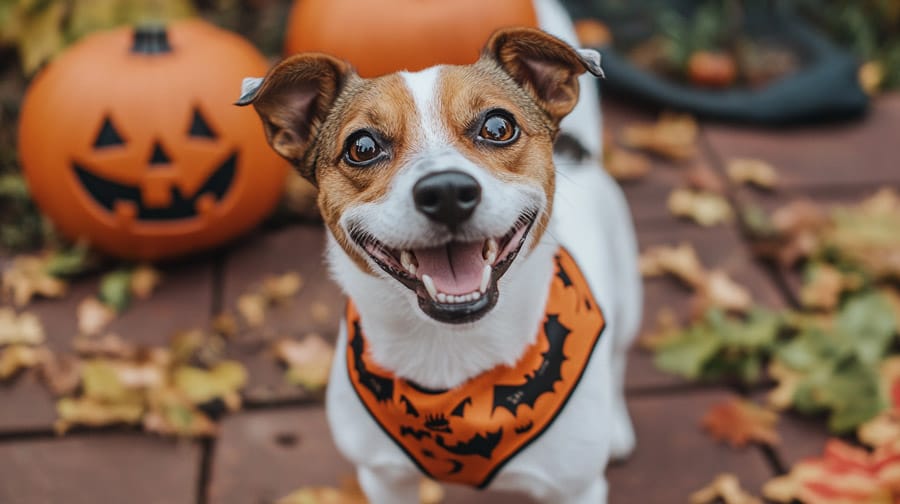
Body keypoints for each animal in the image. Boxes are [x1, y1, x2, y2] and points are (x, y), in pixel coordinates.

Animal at [237, 1, 640, 502]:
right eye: (362, 146)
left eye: (499, 126)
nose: (447, 192)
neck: (452, 351)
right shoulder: (384, 478)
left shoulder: (576, 488)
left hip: (628, 298)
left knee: (619, 352)